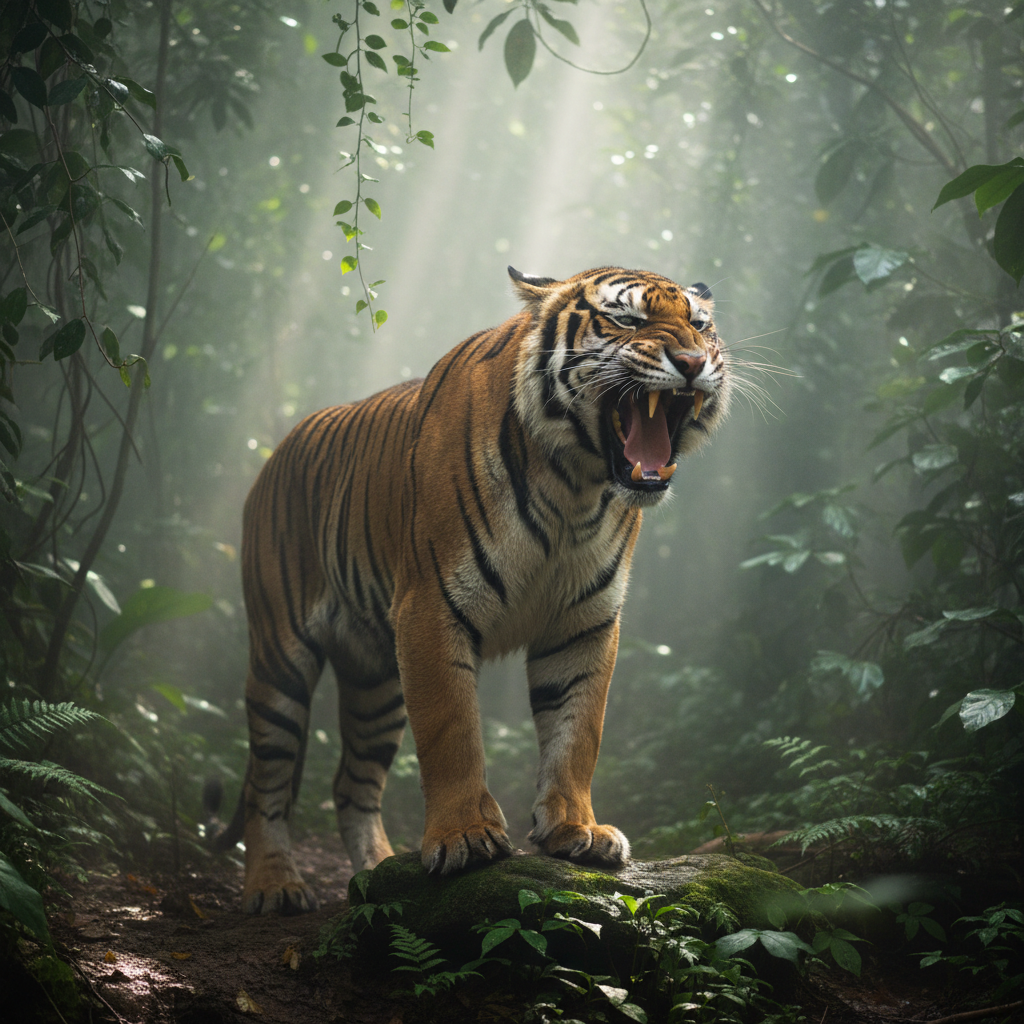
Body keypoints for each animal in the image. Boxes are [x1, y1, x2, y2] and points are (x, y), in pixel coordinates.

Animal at [213, 265, 731, 914]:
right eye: (626, 319)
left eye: (700, 325)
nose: (691, 361)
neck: (575, 485)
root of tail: (277, 449)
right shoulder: (432, 608)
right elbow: (451, 729)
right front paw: (465, 836)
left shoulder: (583, 622)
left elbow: (577, 731)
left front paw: (577, 830)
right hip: (281, 657)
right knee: (268, 780)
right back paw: (275, 884)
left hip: (376, 683)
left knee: (351, 784)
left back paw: (375, 874)